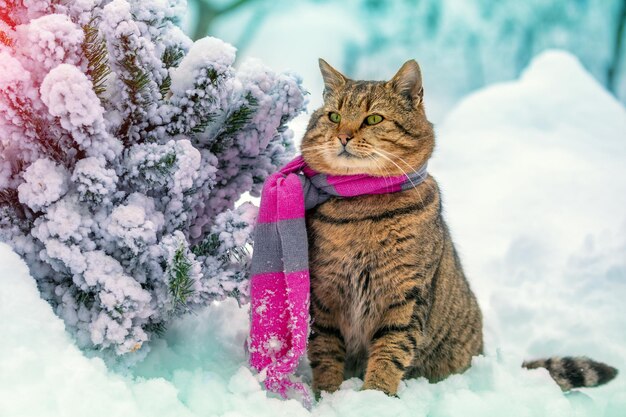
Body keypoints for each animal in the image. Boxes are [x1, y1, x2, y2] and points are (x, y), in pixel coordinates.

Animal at [300, 57, 616, 394]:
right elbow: (325, 351)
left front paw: (374, 396)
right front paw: (327, 395)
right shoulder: (324, 293)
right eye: (334, 116)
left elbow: (391, 350)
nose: (343, 136)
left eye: (373, 119)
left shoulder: (407, 293)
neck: (361, 202)